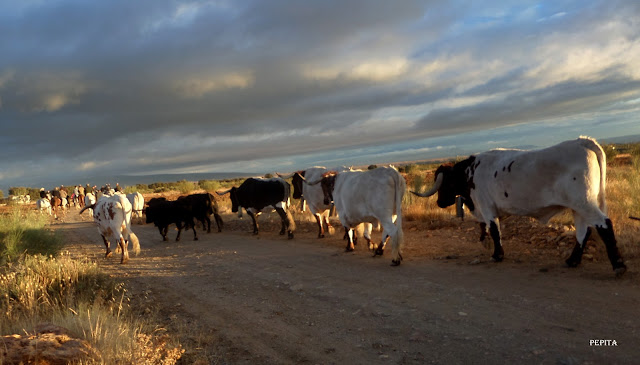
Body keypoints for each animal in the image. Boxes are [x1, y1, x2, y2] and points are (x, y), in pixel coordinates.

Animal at [410, 136, 624, 276]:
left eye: (444, 182)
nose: (439, 202)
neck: (472, 171)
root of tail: (583, 141)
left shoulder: (487, 208)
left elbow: (494, 230)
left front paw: (497, 255)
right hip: (578, 207)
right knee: (583, 231)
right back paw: (572, 261)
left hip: (584, 203)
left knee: (604, 225)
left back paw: (619, 265)